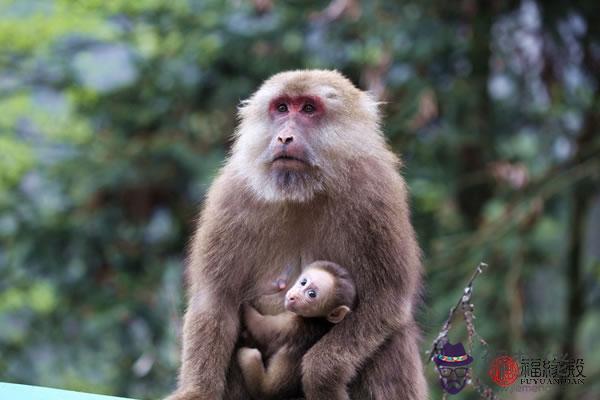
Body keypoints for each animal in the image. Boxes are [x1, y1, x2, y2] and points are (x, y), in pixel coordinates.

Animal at [237, 260, 354, 398]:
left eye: (311, 294)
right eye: (303, 282)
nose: (293, 296)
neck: (318, 320)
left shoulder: (293, 322)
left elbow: (262, 328)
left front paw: (243, 305)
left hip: (263, 387)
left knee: (252, 356)